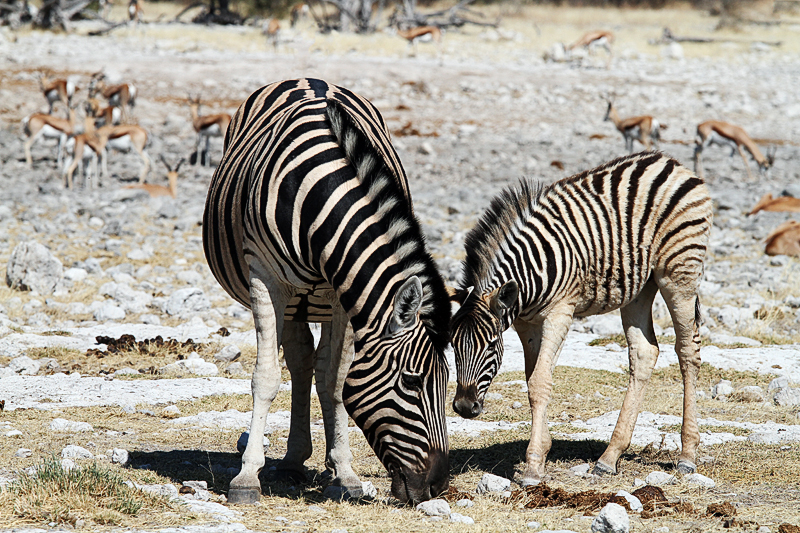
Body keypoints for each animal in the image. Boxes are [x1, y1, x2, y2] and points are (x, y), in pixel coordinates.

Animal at [203, 78, 454, 502]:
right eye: (412, 381)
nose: (437, 485)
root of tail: (305, 78)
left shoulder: (343, 296)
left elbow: (335, 382)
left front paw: (346, 473)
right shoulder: (266, 279)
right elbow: (266, 376)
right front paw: (247, 476)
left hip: (312, 300)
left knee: (314, 367)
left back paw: (318, 461)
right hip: (292, 299)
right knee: (300, 362)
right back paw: (292, 460)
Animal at [450, 151, 712, 486]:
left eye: (491, 345)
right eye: (453, 345)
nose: (464, 407)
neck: (527, 280)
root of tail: (669, 161)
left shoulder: (561, 311)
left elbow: (539, 383)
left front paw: (533, 468)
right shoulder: (527, 324)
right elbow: (533, 380)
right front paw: (542, 451)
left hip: (679, 272)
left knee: (688, 350)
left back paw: (687, 455)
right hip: (640, 286)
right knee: (644, 353)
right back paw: (609, 458)